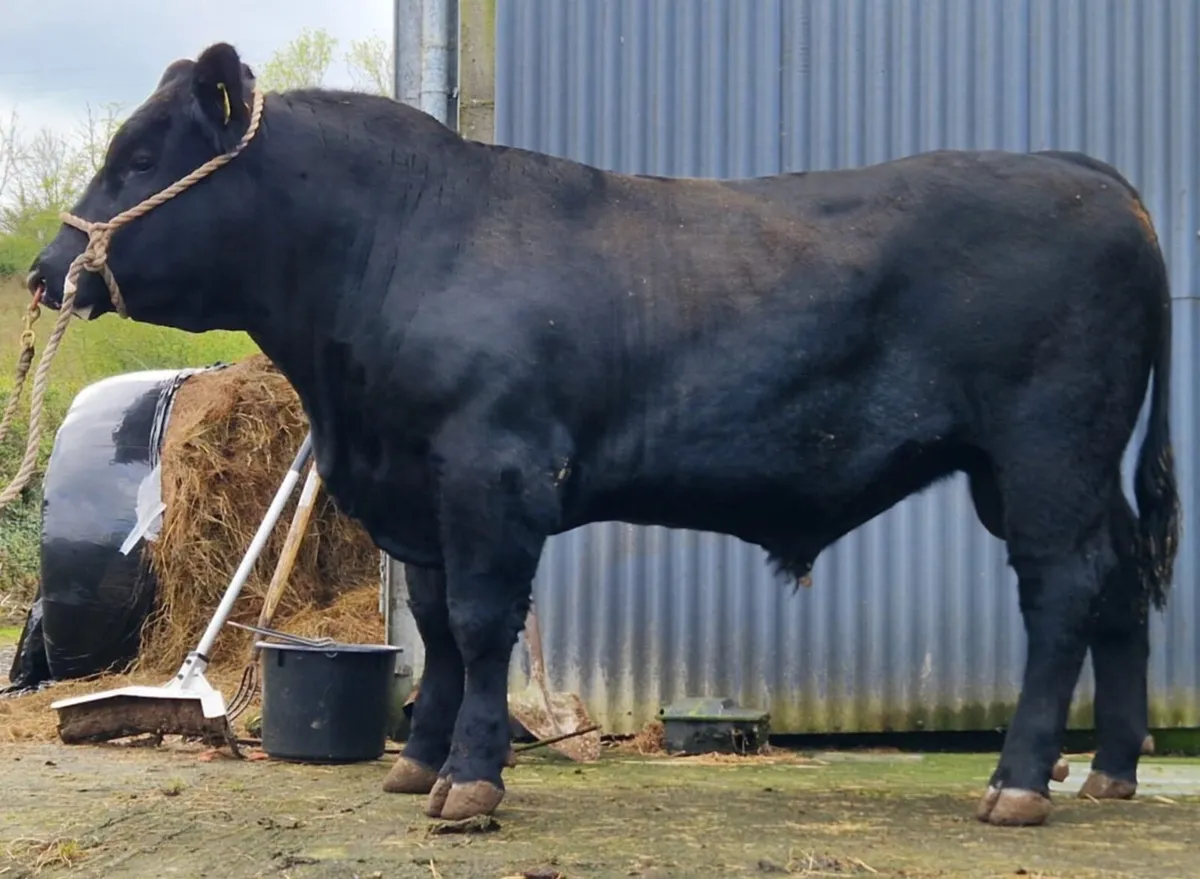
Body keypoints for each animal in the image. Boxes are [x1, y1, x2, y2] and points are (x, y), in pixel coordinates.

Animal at [27, 42, 1179, 828]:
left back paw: (1021, 782)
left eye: (140, 154)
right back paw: (1111, 771)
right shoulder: (424, 492)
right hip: (1046, 467)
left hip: (1045, 450)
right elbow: (437, 624)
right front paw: (419, 760)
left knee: (1064, 591)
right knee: (1120, 583)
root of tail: (1084, 173)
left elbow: (482, 624)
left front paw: (471, 780)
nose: (45, 269)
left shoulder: (491, 473)